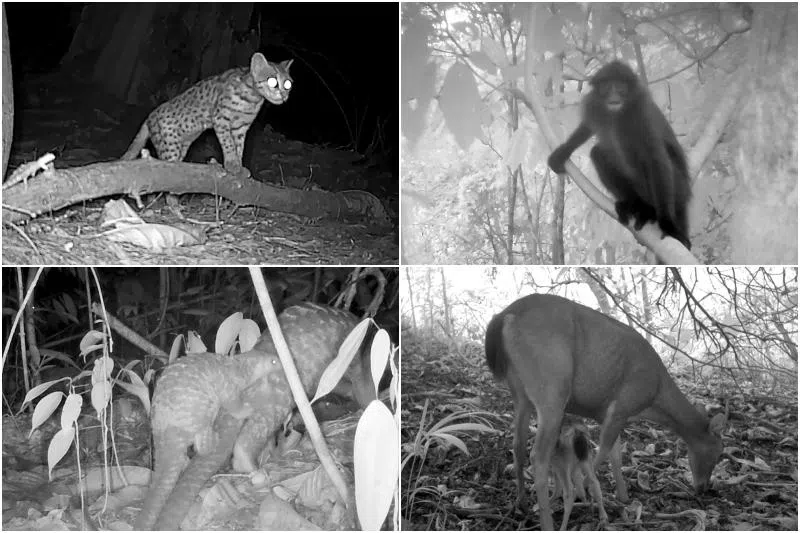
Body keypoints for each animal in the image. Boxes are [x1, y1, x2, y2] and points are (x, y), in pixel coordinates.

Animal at [485, 294, 727, 531]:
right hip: (552, 387)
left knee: (517, 445)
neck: (654, 399)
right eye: (717, 454)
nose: (703, 488)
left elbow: (616, 456)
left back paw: (522, 503)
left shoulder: (610, 415)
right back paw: (548, 519)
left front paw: (624, 497)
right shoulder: (620, 407)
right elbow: (603, 452)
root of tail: (504, 317)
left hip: (520, 392)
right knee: (538, 455)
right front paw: (586, 492)